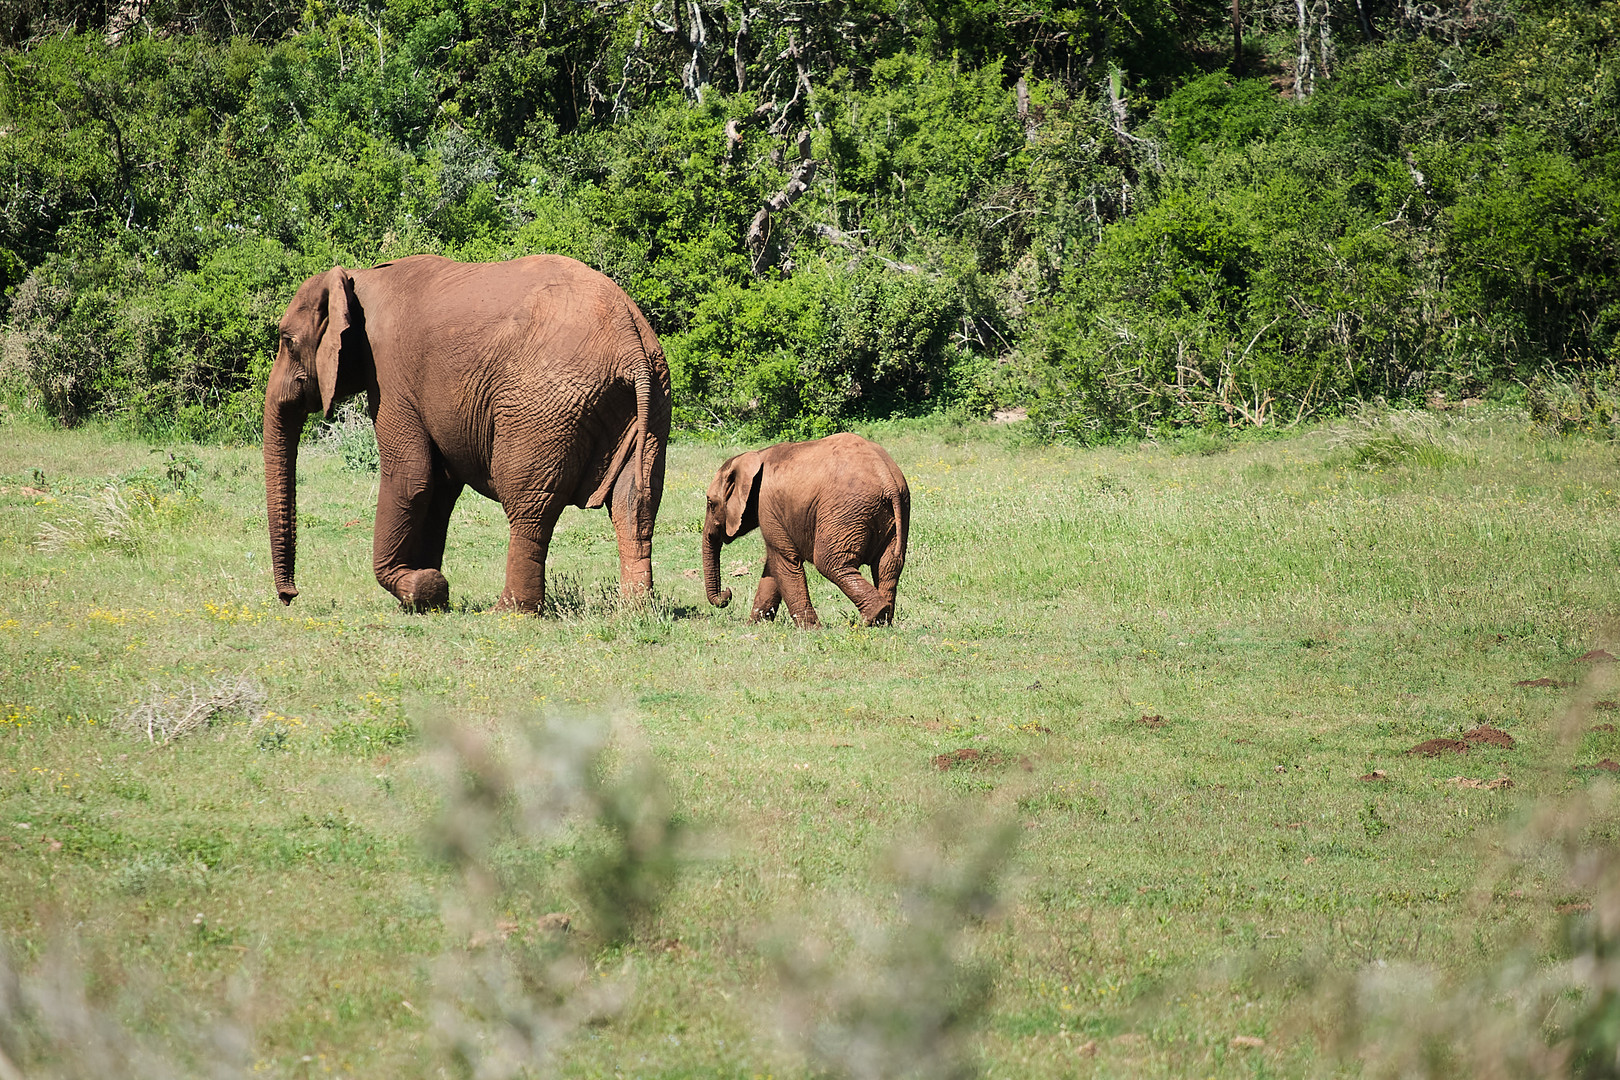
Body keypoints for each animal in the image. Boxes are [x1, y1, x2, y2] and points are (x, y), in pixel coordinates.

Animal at [262, 250, 667, 612]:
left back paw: (508, 611)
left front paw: (423, 587)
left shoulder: (391, 374)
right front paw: (428, 598)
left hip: (543, 408)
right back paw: (635, 610)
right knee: (635, 503)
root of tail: (630, 340)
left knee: (528, 503)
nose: (289, 597)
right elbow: (439, 486)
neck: (358, 279)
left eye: (286, 341)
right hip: (653, 402)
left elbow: (411, 476)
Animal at [703, 433, 913, 628]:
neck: (755, 455)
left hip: (846, 511)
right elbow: (773, 567)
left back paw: (872, 617)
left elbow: (784, 560)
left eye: (711, 503)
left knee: (830, 562)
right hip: (897, 510)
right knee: (888, 565)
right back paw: (882, 622)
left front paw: (811, 630)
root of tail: (886, 478)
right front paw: (755, 626)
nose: (727, 593)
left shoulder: (767, 506)